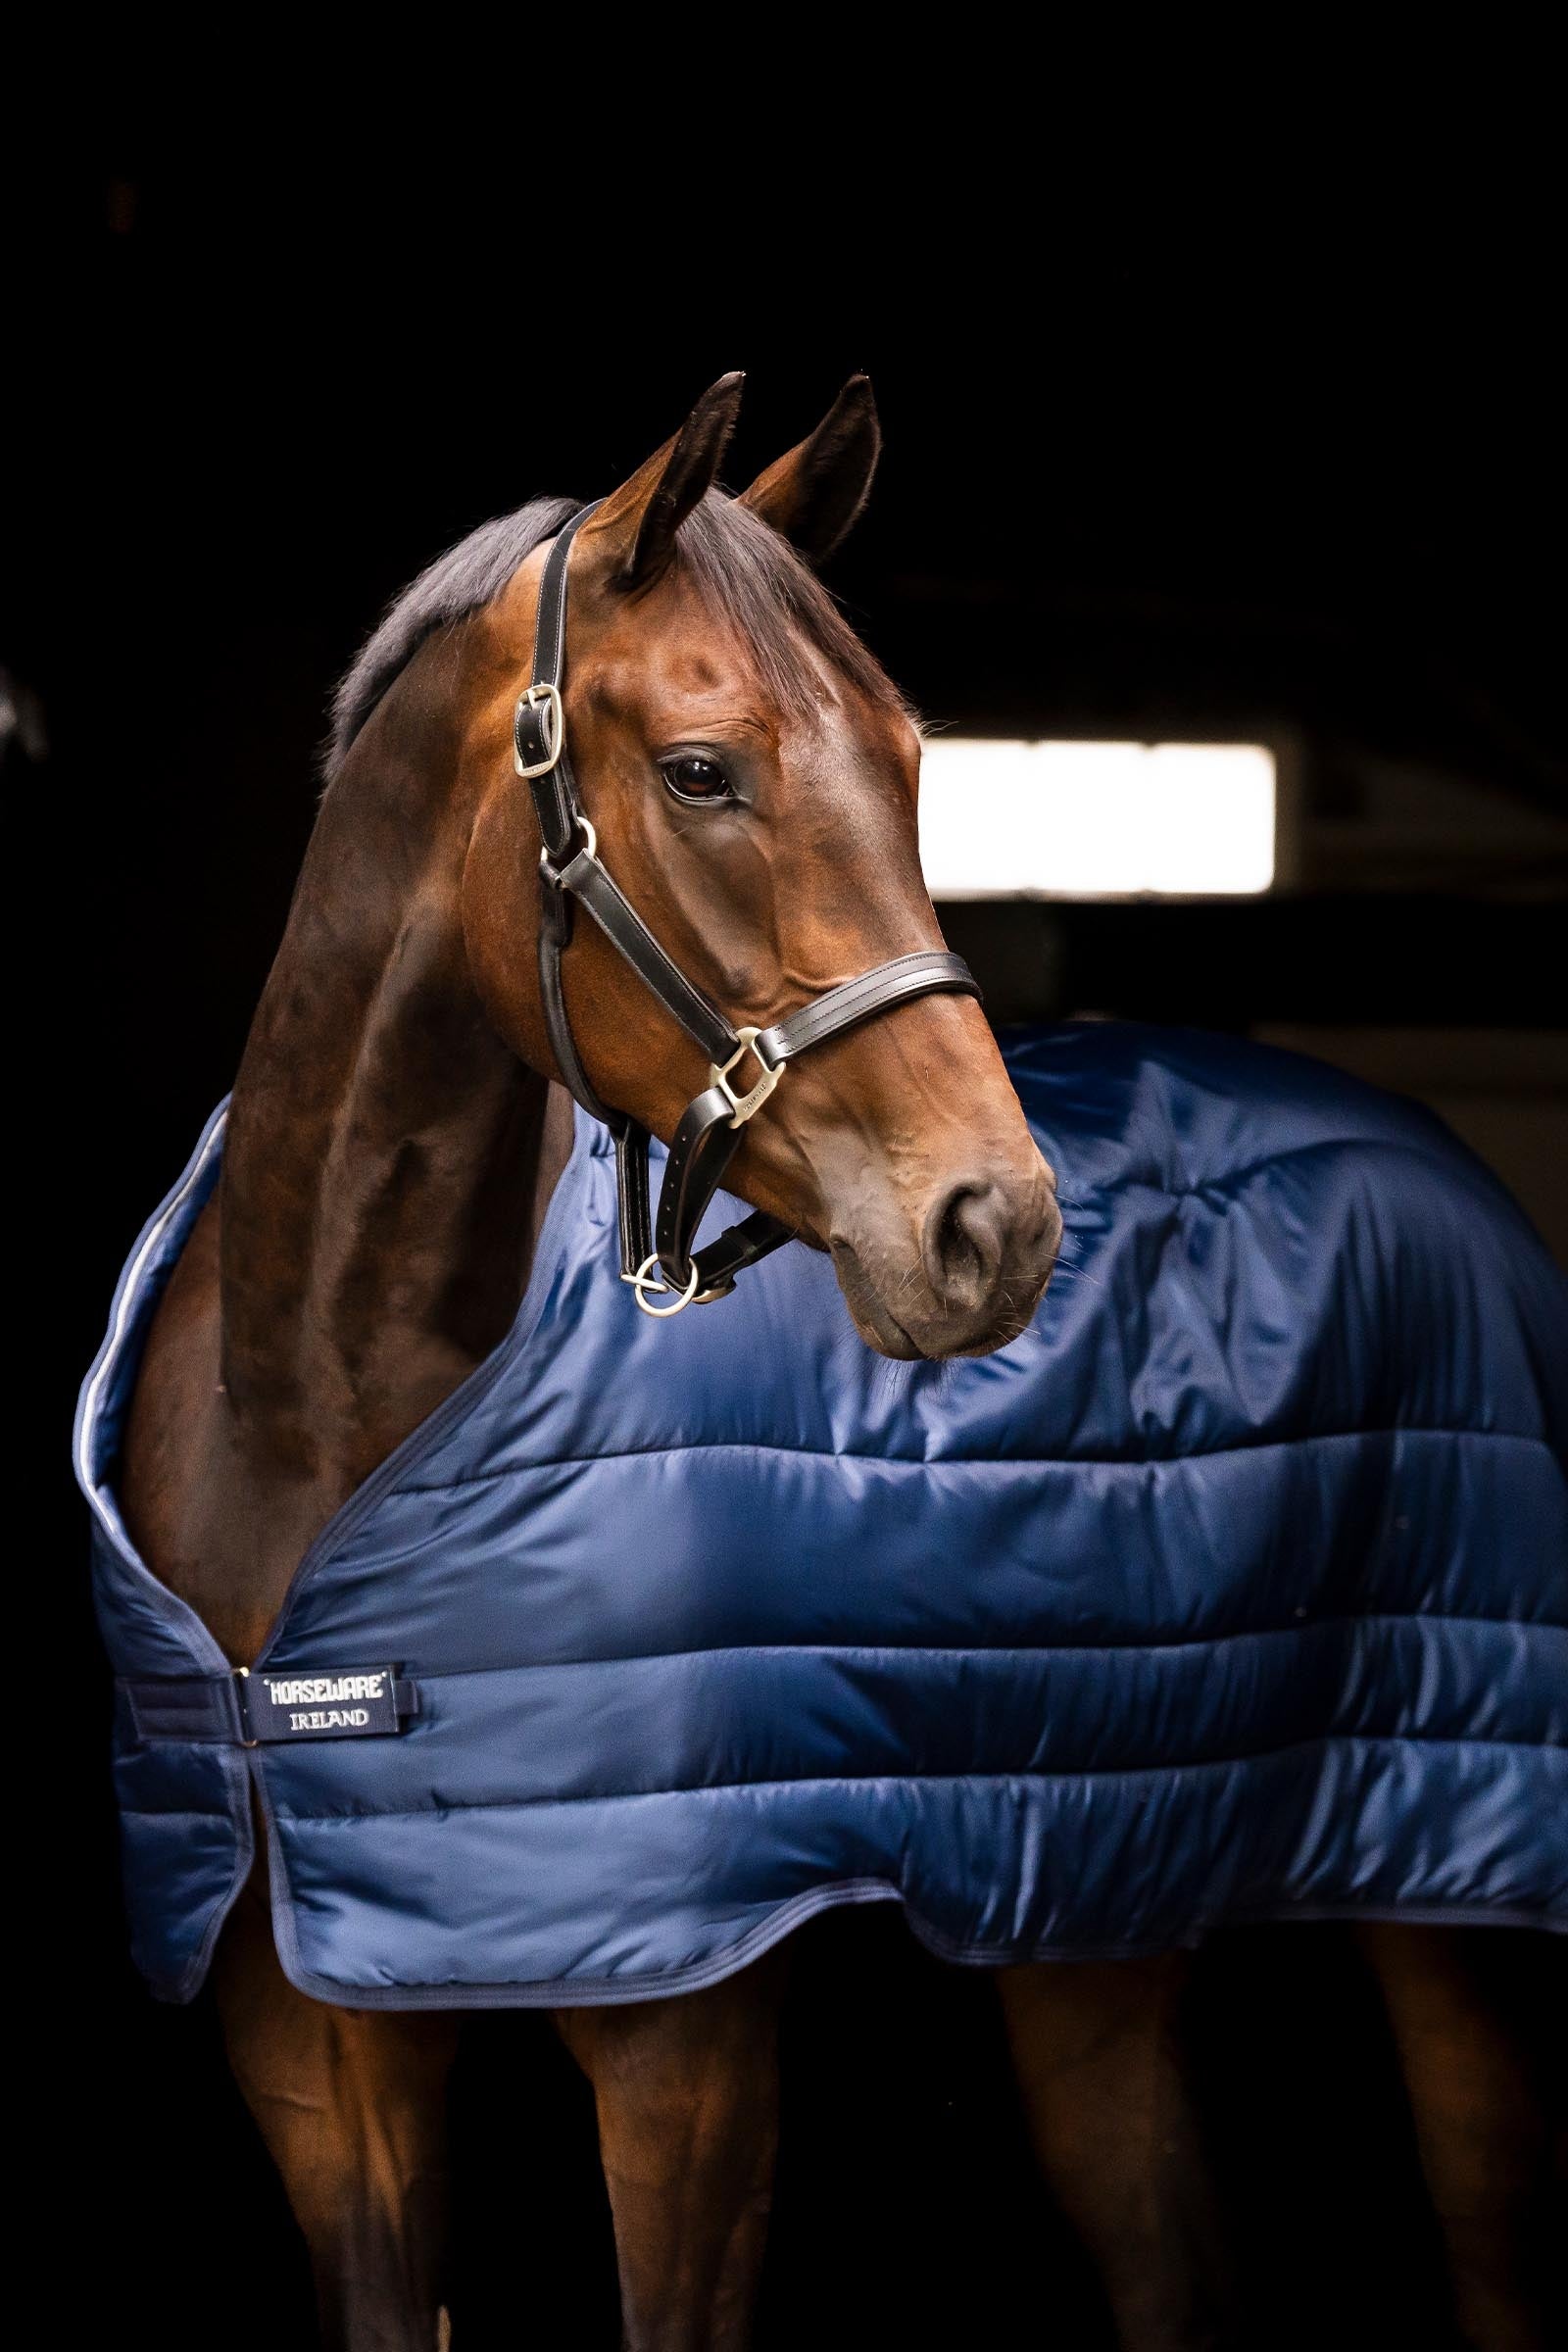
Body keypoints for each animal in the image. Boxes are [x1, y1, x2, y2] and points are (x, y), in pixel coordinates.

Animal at [96, 376, 1559, 2351]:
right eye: (703, 771)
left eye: (913, 758)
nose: (993, 1227)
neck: (308, 1417)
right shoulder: (321, 2062)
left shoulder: (688, 2066)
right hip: (1087, 1900)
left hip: (1453, 1901)